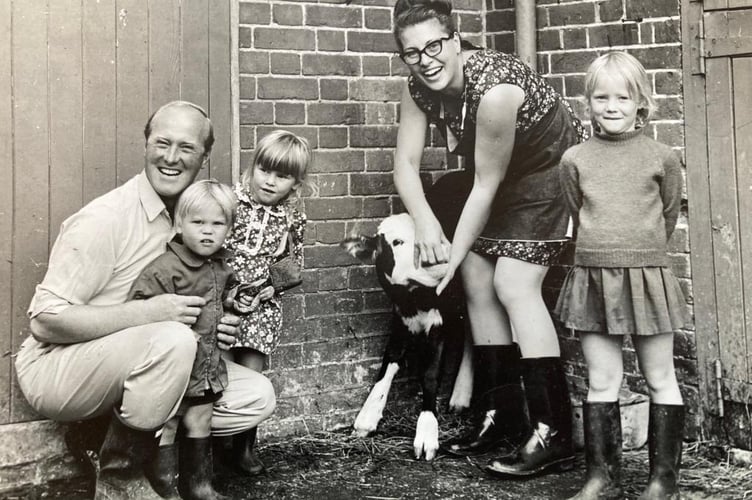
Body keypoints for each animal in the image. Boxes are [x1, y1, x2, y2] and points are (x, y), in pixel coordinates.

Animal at [344, 214, 472, 460]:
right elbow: (387, 364)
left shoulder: (439, 322)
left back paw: (460, 396)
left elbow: (430, 373)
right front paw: (366, 418)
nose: (446, 252)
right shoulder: (400, 320)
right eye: (396, 242)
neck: (415, 299)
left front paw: (426, 433)